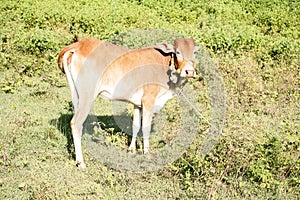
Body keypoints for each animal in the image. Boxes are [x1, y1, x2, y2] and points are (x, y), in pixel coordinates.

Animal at [58, 37, 199, 169]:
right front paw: (147, 154)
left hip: (76, 96)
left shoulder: (137, 104)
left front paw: (131, 150)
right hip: (87, 96)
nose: (190, 72)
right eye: (178, 52)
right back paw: (81, 162)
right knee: (76, 123)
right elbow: (145, 127)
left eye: (194, 53)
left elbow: (135, 125)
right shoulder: (148, 100)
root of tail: (79, 44)